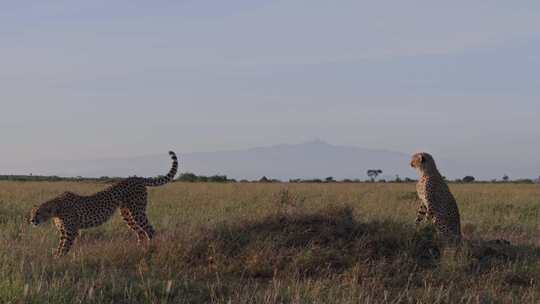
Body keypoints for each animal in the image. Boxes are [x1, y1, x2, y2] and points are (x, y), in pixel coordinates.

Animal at [30, 151, 178, 258]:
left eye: (38, 213)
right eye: (31, 213)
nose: (31, 221)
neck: (56, 209)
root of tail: (136, 177)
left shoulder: (71, 231)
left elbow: (64, 248)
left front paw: (58, 260)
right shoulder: (63, 231)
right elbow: (60, 246)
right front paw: (55, 257)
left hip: (137, 211)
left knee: (150, 230)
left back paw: (151, 249)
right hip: (127, 214)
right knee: (140, 232)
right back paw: (139, 250)